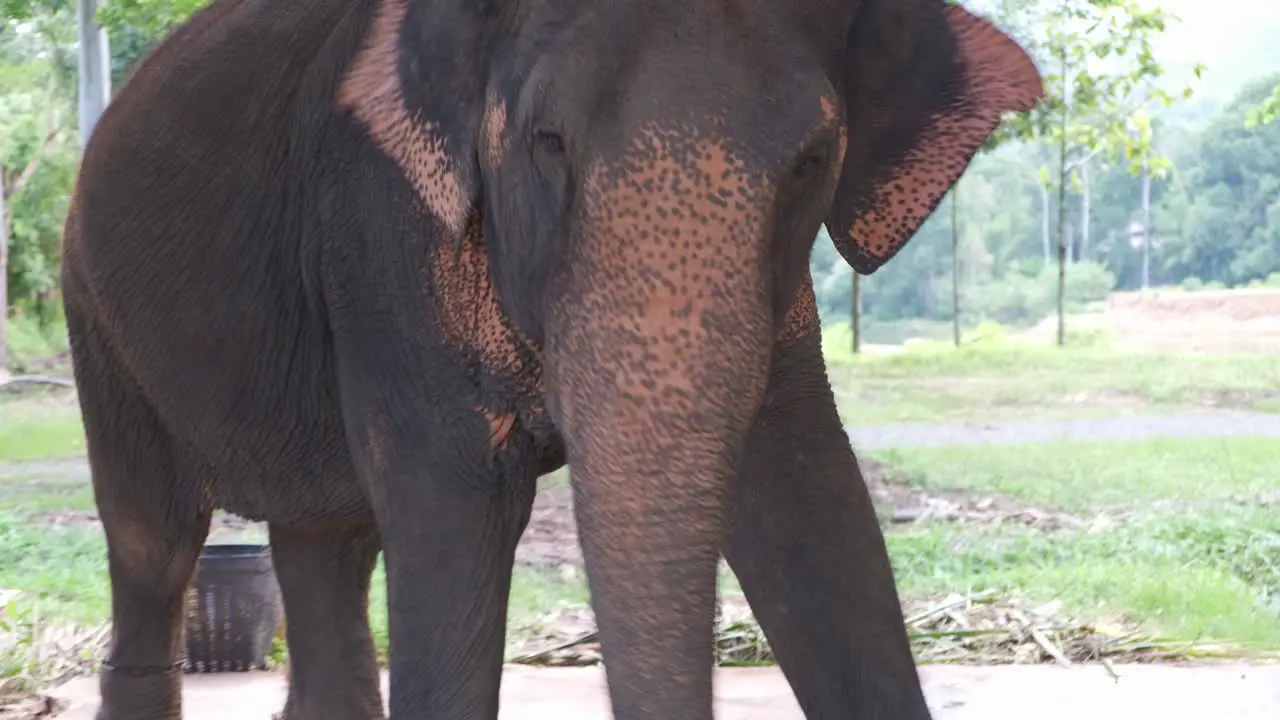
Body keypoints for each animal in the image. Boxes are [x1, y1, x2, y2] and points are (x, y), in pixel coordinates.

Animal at [57, 0, 1039, 712]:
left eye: (812, 160)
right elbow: (455, 515)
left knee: (325, 542)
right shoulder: (383, 236)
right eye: (548, 143)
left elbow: (809, 499)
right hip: (94, 314)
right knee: (155, 539)